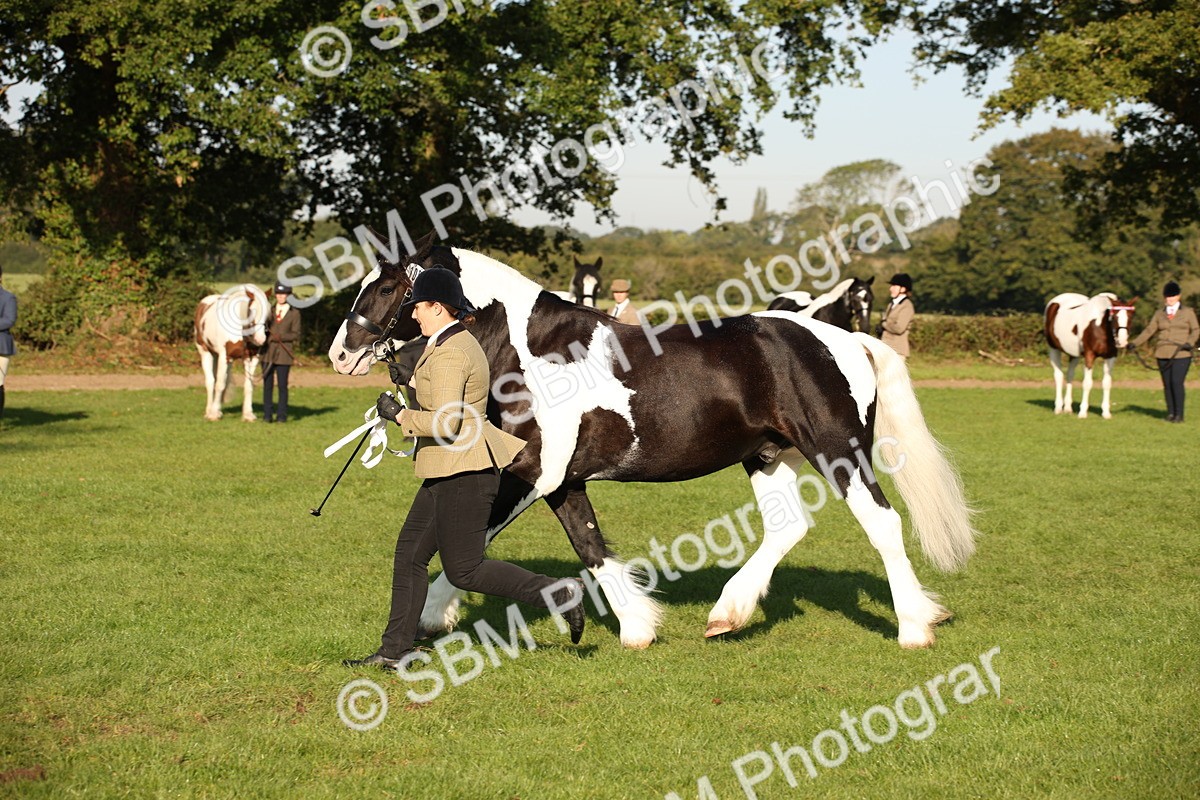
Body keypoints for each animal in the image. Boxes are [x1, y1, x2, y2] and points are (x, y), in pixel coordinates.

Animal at [194, 285, 269, 421]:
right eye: (252, 311)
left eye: (268, 312)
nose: (260, 339)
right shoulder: (225, 356)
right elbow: (220, 384)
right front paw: (213, 414)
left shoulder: (251, 358)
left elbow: (249, 385)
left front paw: (248, 414)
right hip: (205, 352)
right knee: (210, 381)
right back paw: (209, 411)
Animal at [328, 235, 976, 650]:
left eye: (386, 289)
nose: (340, 352)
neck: (525, 352)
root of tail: (845, 339)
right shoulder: (562, 480)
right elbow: (589, 545)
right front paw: (637, 627)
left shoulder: (531, 470)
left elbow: (472, 544)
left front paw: (432, 615)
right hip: (766, 456)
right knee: (787, 527)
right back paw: (727, 615)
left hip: (837, 451)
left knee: (882, 522)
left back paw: (913, 628)